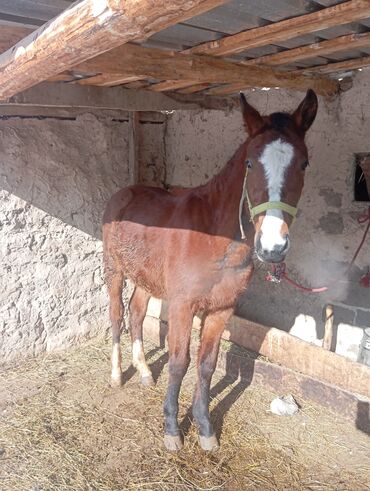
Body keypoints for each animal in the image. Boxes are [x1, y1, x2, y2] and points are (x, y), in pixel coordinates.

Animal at [102, 90, 318, 452]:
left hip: (147, 278)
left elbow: (207, 365)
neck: (215, 239)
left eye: (303, 163)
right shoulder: (182, 306)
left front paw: (204, 428)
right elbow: (179, 363)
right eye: (249, 163)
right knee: (117, 315)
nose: (272, 246)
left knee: (136, 313)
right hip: (114, 271)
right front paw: (172, 429)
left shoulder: (221, 309)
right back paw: (117, 375)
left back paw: (144, 371)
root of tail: (122, 193)